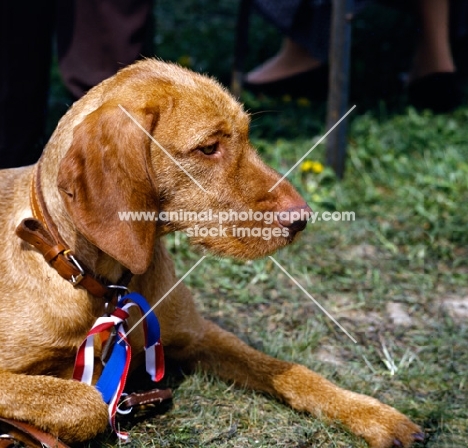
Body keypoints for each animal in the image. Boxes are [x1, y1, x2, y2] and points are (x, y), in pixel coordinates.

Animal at [0, 60, 422, 448]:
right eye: (208, 148)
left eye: (248, 137)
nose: (303, 219)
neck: (103, 283)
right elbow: (83, 401)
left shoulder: (199, 335)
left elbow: (291, 370)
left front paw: (374, 415)